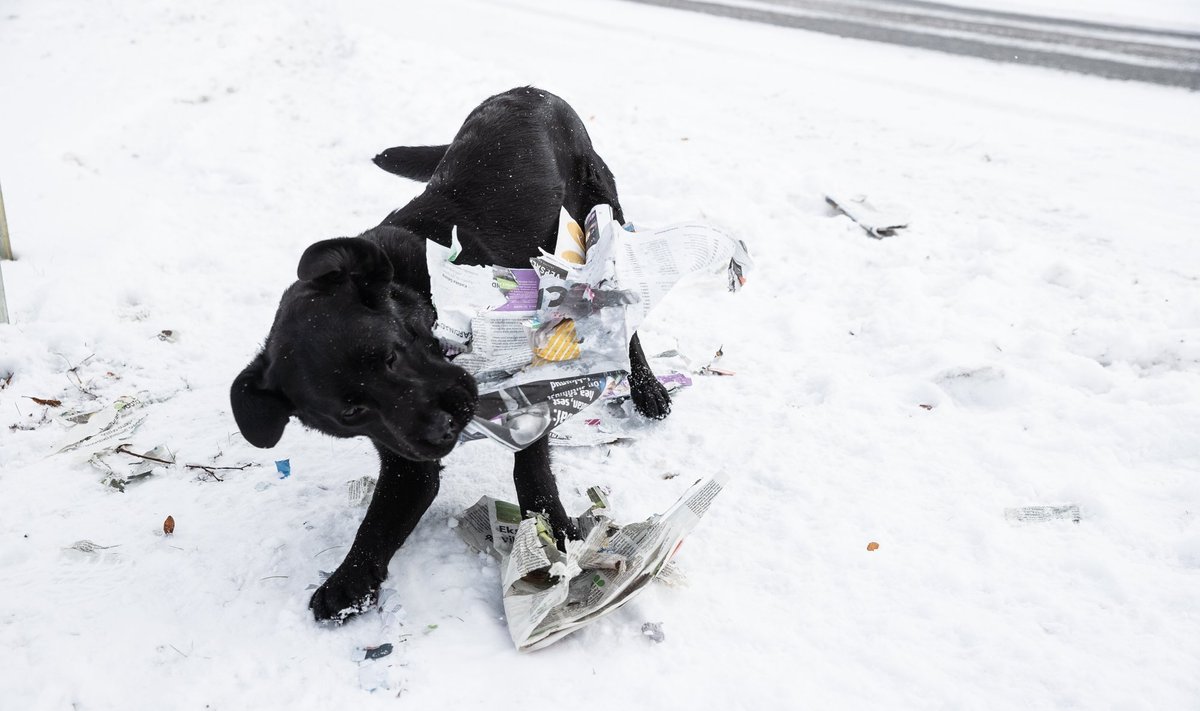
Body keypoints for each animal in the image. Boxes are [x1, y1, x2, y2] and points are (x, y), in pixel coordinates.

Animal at [229, 87, 672, 624]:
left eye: (393, 356)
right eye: (351, 412)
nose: (447, 425)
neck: (430, 301)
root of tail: (529, 90)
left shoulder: (524, 383)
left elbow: (531, 470)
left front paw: (556, 531)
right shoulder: (406, 457)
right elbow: (378, 521)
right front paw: (349, 580)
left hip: (597, 229)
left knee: (627, 323)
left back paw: (647, 389)